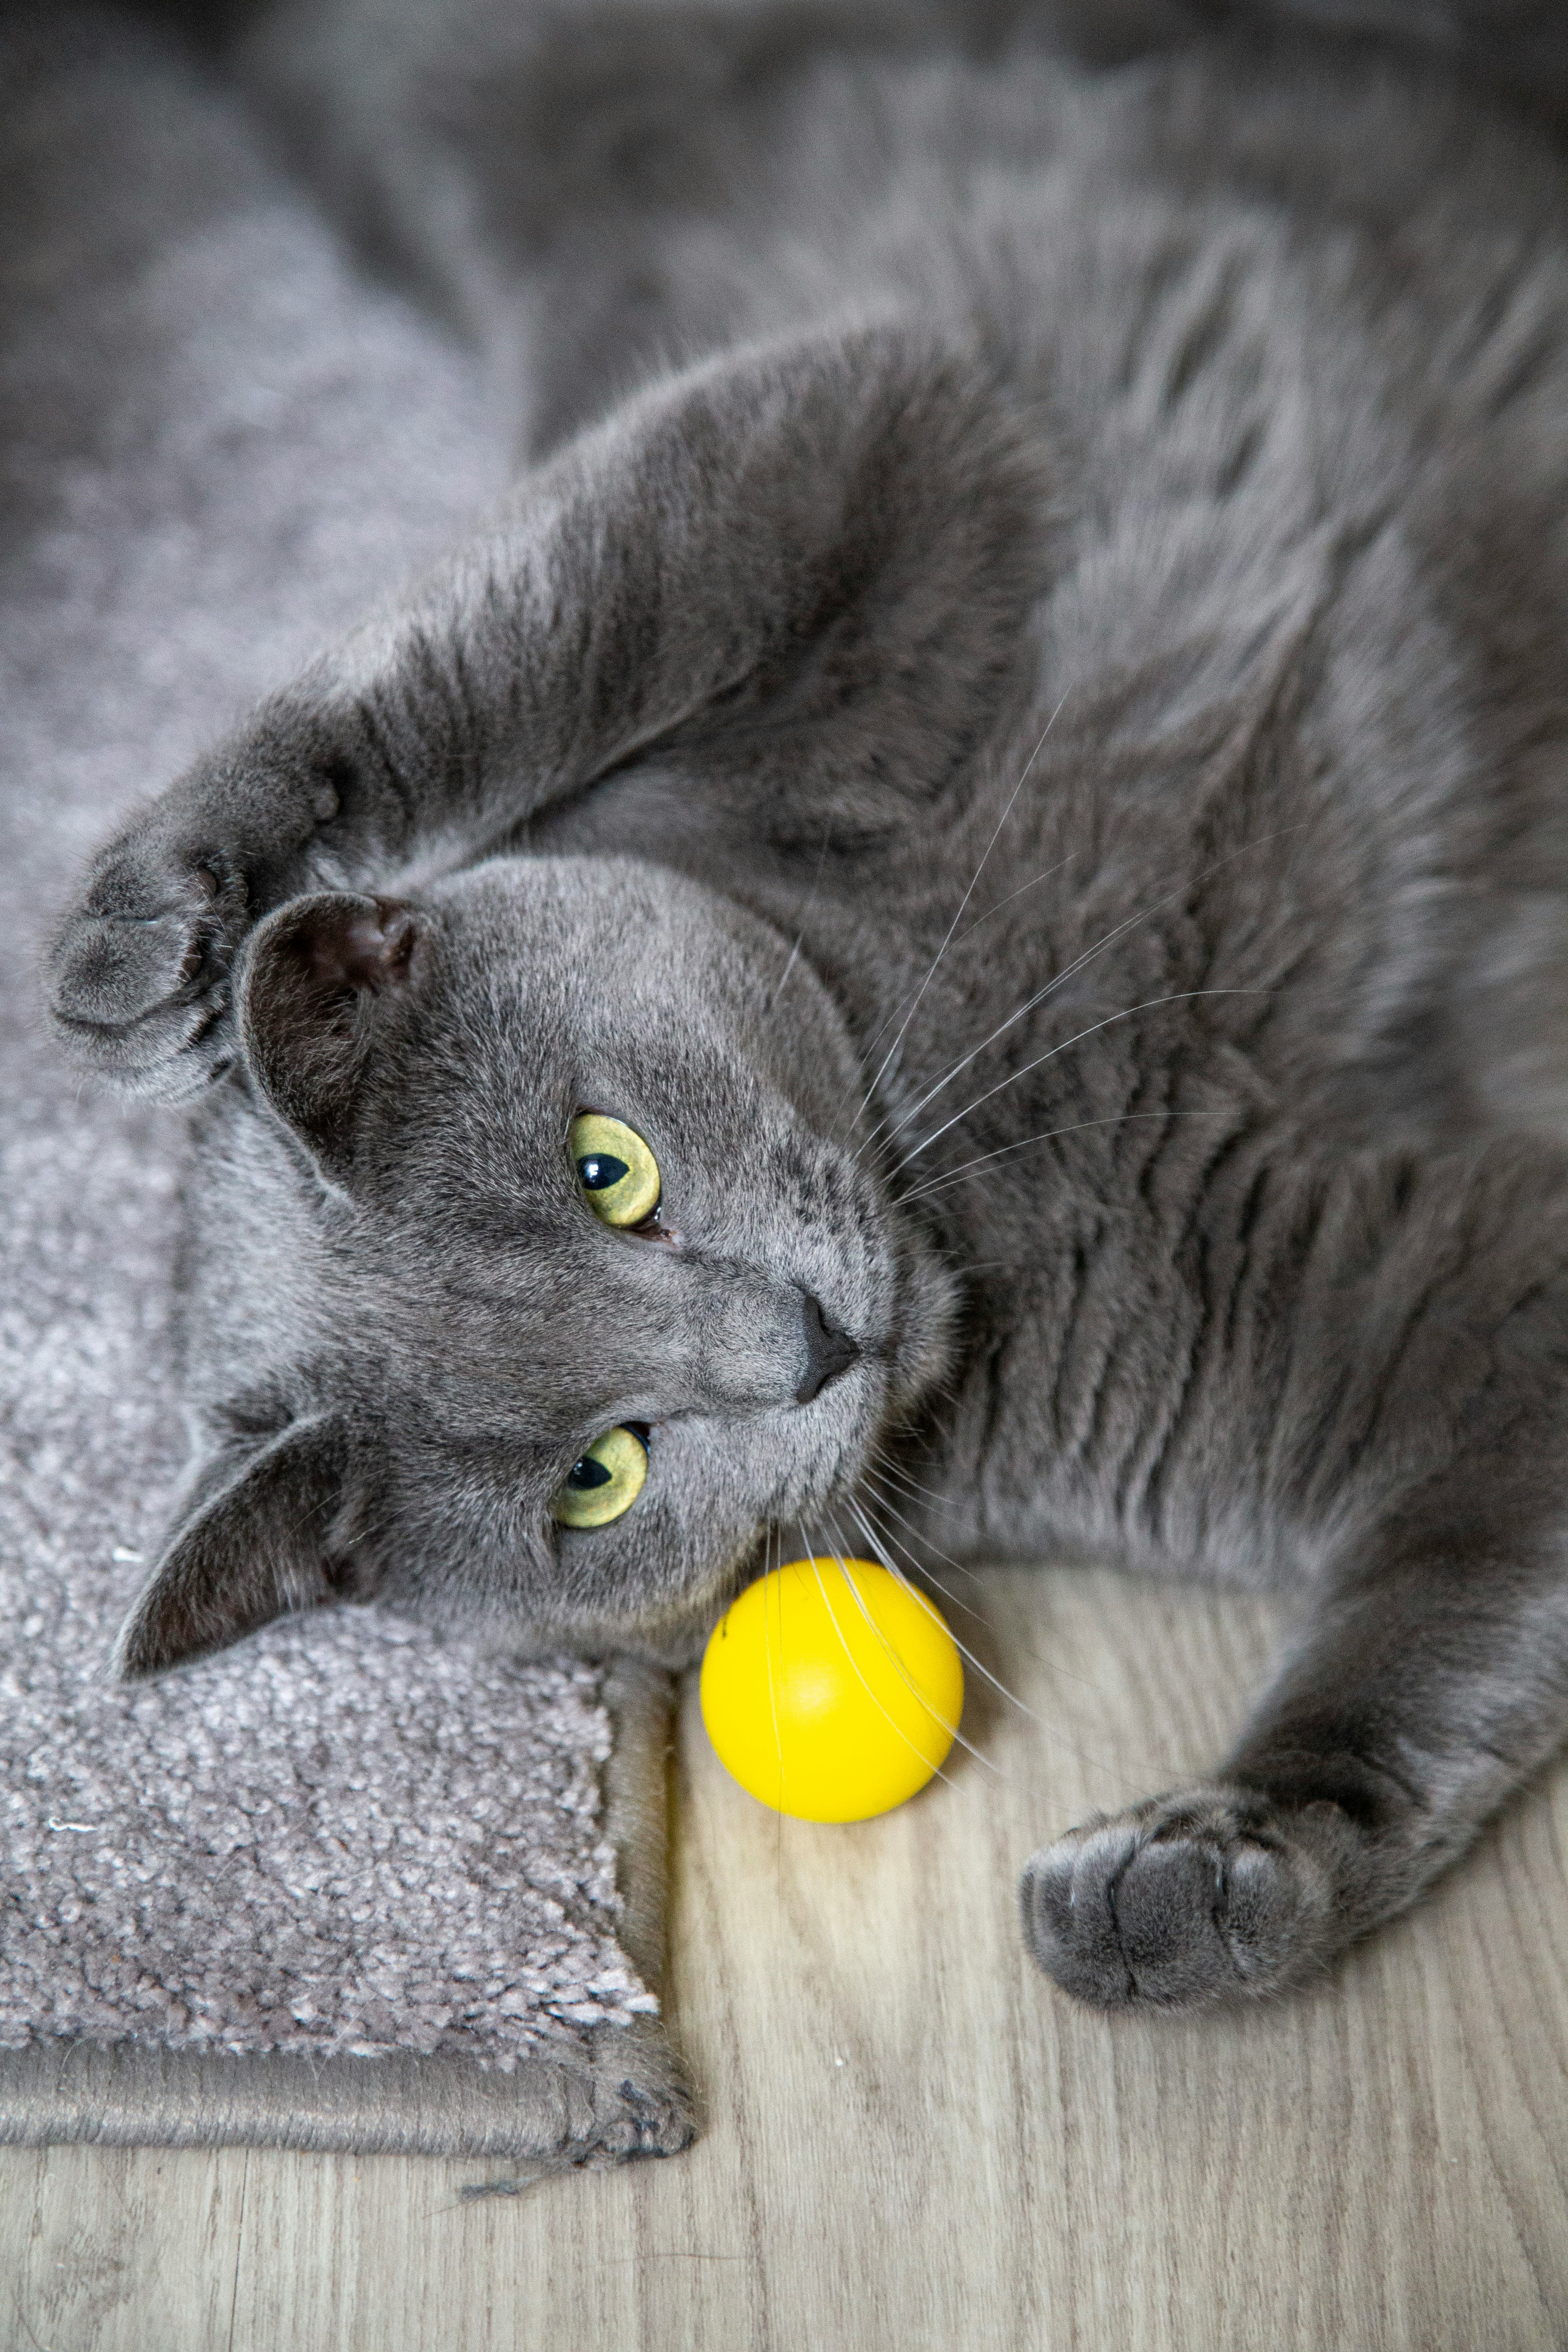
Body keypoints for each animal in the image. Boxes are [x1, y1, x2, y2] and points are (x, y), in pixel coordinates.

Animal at [43, 4, 1568, 2022]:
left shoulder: (872, 422)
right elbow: (1445, 1616)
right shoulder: (1430, 1307)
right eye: (600, 1476)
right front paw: (1212, 1869)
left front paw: (171, 916)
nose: (805, 1346)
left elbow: (533, 626)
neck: (973, 1125)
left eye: (608, 1164)